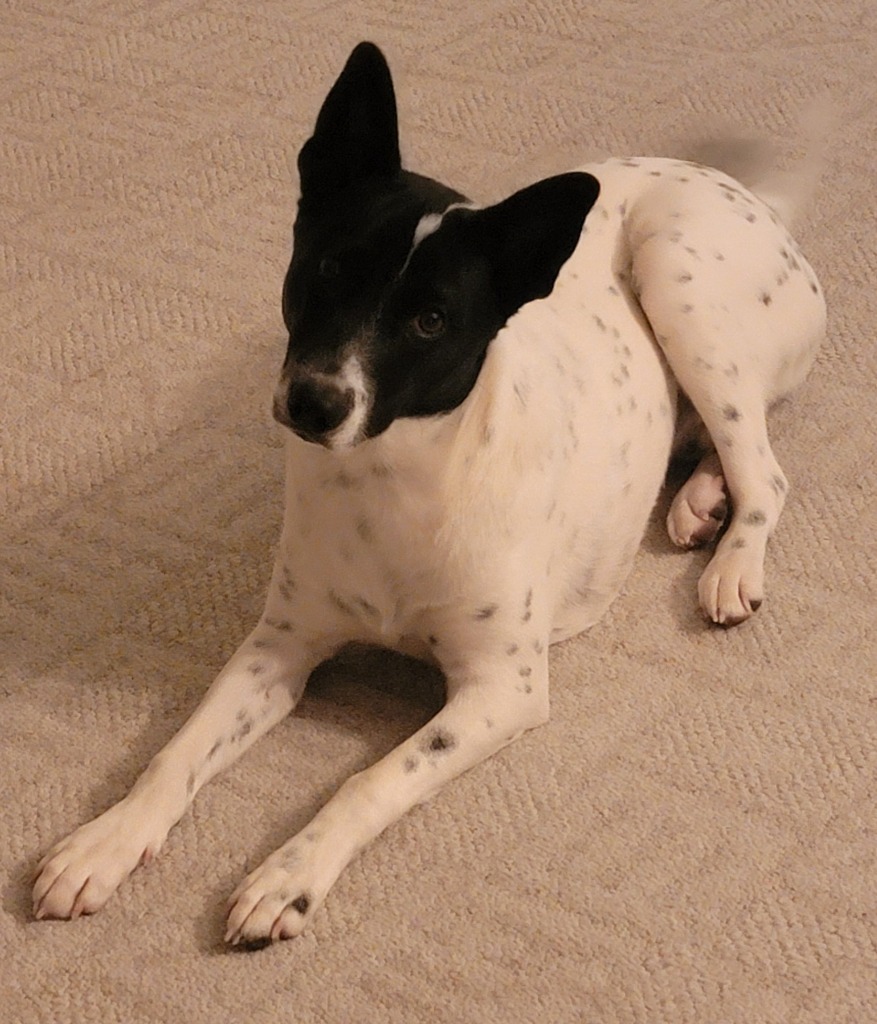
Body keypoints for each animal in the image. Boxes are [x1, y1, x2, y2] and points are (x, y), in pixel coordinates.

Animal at [34, 46, 823, 942]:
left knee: (764, 465)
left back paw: (731, 561)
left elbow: (370, 780)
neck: (392, 479)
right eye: (328, 268)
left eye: (430, 322)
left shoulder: (501, 689)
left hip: (677, 279)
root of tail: (744, 193)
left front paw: (289, 874)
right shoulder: (277, 647)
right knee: (723, 443)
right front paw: (106, 839)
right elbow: (177, 749)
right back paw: (696, 502)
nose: (313, 402)